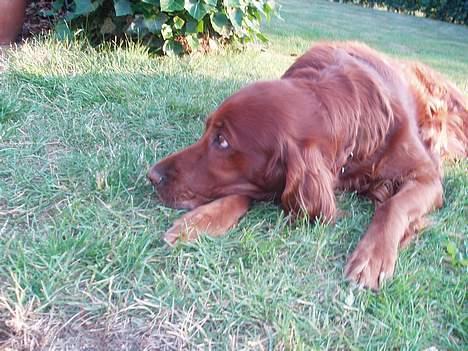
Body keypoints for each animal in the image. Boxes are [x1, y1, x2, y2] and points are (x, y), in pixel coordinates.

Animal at [149, 41, 468, 290]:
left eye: (223, 141)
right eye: (207, 132)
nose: (152, 176)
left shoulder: (427, 177)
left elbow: (393, 205)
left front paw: (372, 256)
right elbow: (240, 193)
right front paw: (199, 221)